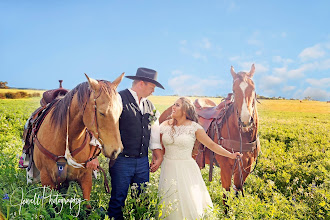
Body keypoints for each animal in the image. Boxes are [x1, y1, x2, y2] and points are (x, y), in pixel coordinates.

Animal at [32, 73, 124, 203]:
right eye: (101, 112)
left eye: (120, 111)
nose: (116, 150)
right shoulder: (47, 180)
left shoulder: (85, 177)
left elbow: (87, 206)